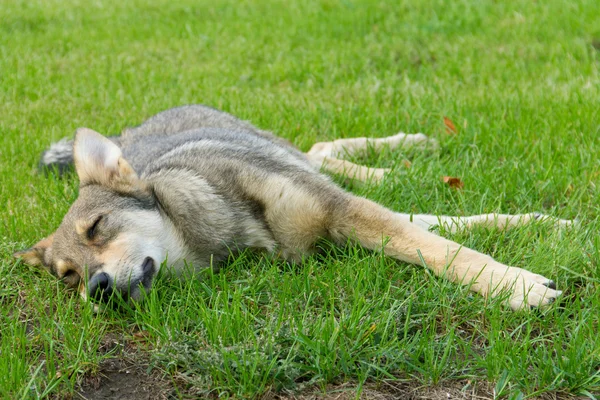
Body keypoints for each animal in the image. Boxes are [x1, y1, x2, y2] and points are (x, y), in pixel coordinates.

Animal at [14, 104, 568, 310]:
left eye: (97, 226)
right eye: (67, 276)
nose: (98, 290)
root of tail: (129, 130)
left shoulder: (343, 210)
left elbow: (446, 250)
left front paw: (516, 283)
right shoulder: (348, 220)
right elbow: (438, 234)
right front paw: (529, 228)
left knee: (321, 150)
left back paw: (405, 152)